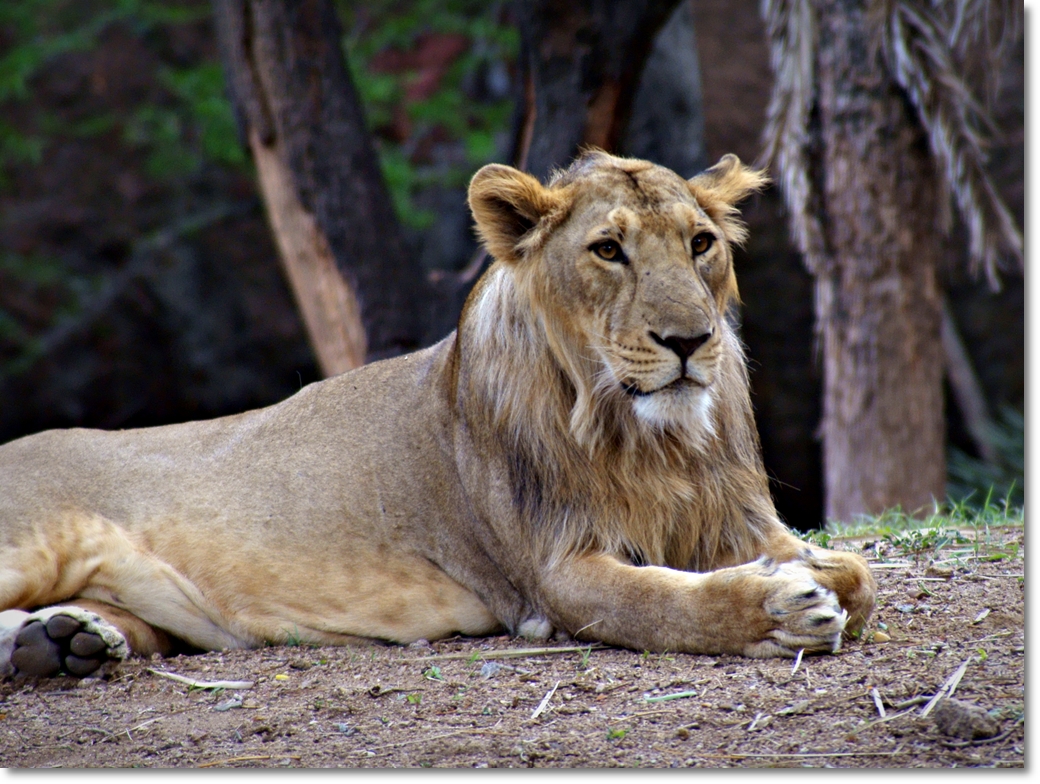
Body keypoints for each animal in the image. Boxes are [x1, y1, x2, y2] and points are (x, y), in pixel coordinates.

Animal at [0, 149, 877, 673]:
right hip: (29, 538)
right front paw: (778, 607)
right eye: (608, 249)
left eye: (700, 243)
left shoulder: (736, 520)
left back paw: (64, 644)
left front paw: (815, 574)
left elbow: (861, 573)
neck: (650, 441)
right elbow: (661, 604)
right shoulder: (553, 572)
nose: (691, 340)